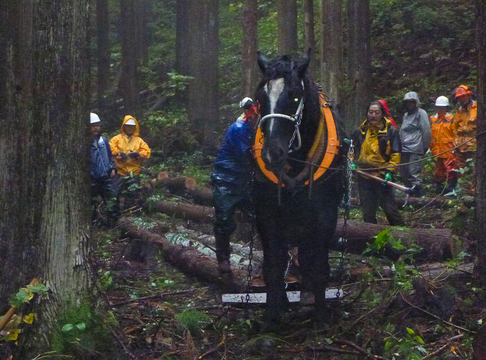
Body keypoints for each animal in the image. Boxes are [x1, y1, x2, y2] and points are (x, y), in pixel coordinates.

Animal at [252, 48, 348, 326]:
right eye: (260, 97)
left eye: (295, 96)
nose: (272, 153)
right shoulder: (266, 212)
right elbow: (274, 264)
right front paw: (272, 317)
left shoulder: (325, 213)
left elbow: (318, 264)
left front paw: (320, 317)